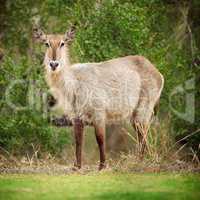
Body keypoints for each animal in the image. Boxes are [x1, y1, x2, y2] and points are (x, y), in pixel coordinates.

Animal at [32, 25, 164, 170]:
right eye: (46, 43)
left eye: (62, 43)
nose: (54, 64)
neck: (74, 82)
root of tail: (157, 72)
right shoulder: (76, 117)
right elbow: (78, 141)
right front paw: (77, 166)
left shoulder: (99, 113)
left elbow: (100, 139)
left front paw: (102, 166)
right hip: (135, 116)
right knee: (142, 137)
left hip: (142, 112)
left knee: (143, 136)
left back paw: (141, 162)